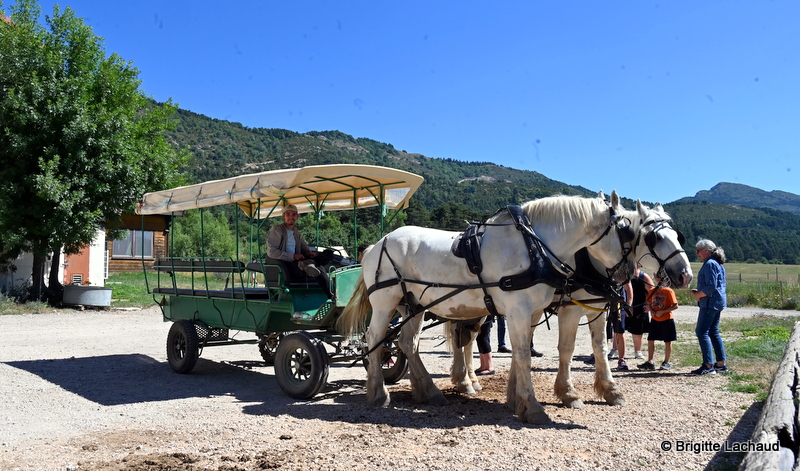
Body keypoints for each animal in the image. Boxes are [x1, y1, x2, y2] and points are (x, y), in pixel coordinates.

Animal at [339, 190, 636, 424]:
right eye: (629, 232)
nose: (628, 274)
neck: (535, 246)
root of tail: (377, 244)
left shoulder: (533, 311)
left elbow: (522, 353)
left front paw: (518, 400)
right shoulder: (519, 309)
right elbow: (523, 355)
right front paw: (533, 408)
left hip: (414, 305)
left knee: (407, 343)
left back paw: (429, 392)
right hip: (385, 303)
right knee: (374, 339)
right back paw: (379, 393)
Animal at [447, 200, 693, 409]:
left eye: (677, 236)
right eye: (655, 238)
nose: (686, 276)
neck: (587, 260)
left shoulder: (597, 308)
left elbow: (600, 347)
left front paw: (610, 389)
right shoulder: (570, 310)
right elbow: (566, 349)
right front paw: (568, 392)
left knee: (465, 338)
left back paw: (467, 380)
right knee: (467, 339)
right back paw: (466, 380)